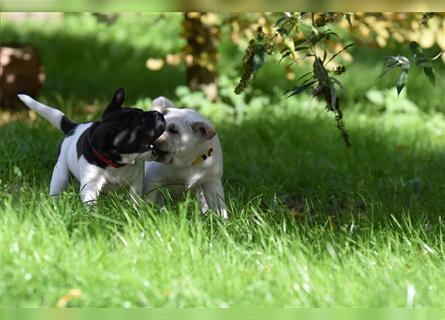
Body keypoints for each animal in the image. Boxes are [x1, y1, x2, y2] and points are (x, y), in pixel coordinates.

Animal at [16, 89, 166, 204]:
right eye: (140, 123)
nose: (159, 114)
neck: (116, 163)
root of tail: (73, 126)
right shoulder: (91, 186)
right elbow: (90, 203)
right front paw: (93, 218)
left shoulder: (136, 181)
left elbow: (134, 198)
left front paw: (136, 212)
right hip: (61, 172)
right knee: (57, 187)